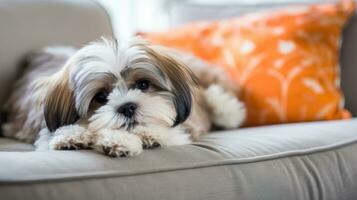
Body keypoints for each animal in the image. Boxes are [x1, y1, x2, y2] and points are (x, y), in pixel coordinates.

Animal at [1, 36, 245, 157]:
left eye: (143, 84)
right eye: (101, 96)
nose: (127, 106)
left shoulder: (181, 130)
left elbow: (164, 131)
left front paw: (127, 138)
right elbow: (54, 135)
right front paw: (72, 136)